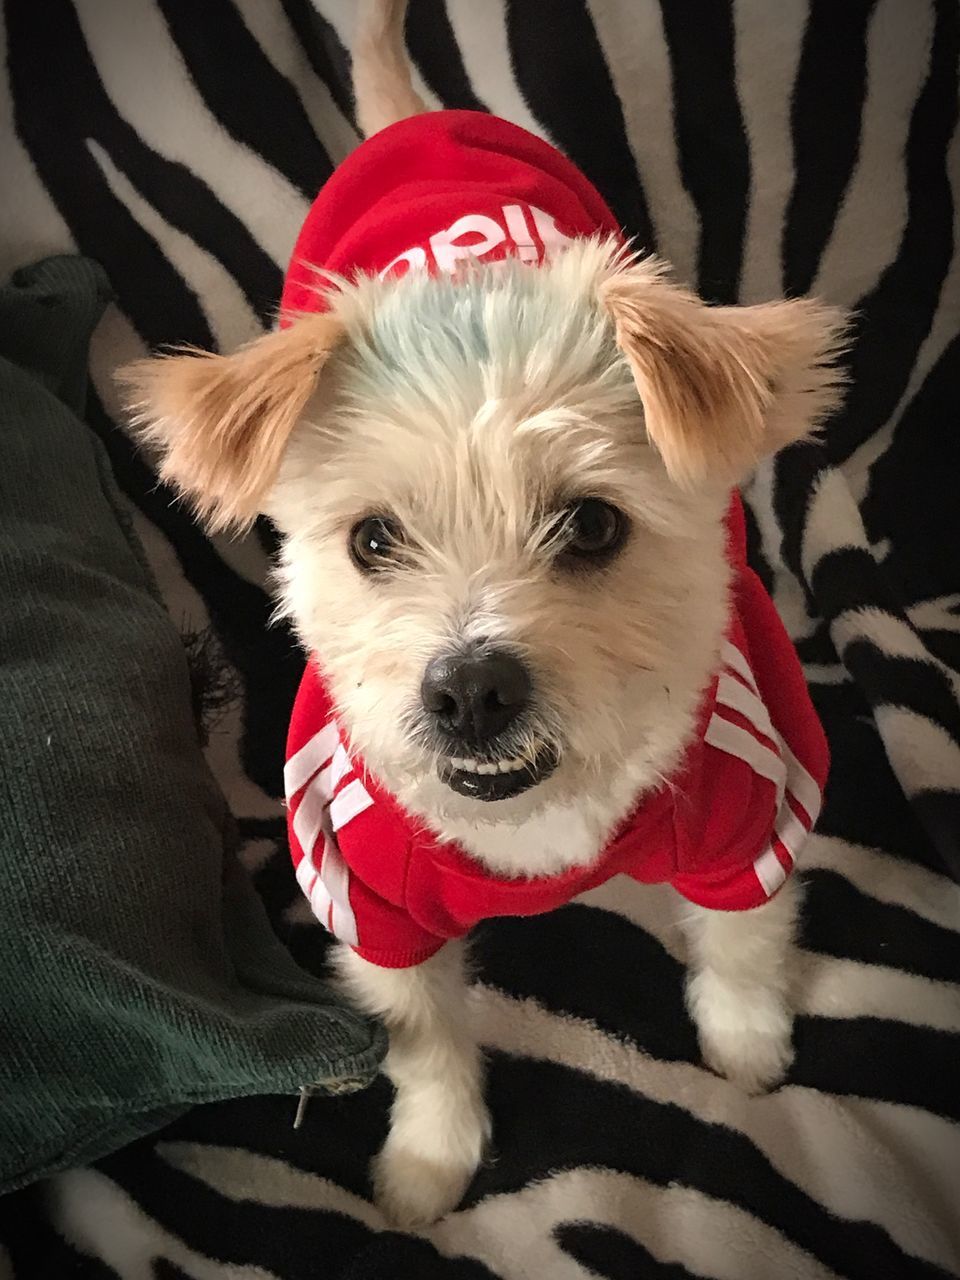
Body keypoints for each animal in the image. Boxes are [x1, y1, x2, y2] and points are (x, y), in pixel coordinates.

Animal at [122, 0, 849, 1228]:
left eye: (592, 526)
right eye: (373, 539)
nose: (468, 689)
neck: (540, 824)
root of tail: (420, 121)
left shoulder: (752, 803)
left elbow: (744, 945)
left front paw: (748, 1047)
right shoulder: (367, 895)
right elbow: (421, 1036)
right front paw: (431, 1157)